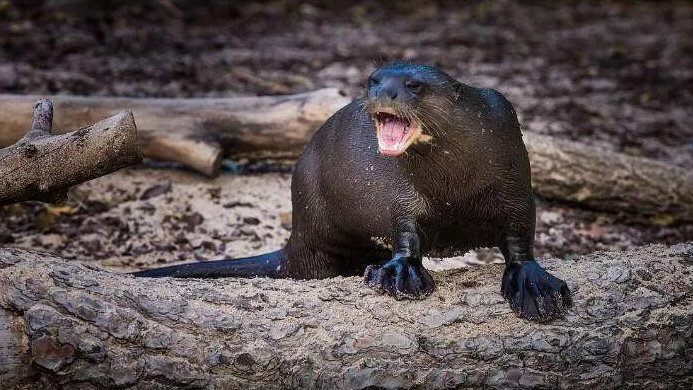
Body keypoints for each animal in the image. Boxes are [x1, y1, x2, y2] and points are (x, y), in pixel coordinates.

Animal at [132, 62, 572, 322]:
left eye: (413, 85)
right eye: (373, 80)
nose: (380, 92)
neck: (455, 184)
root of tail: (295, 239)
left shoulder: (515, 183)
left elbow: (520, 234)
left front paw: (533, 284)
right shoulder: (404, 196)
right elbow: (405, 228)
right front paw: (400, 272)